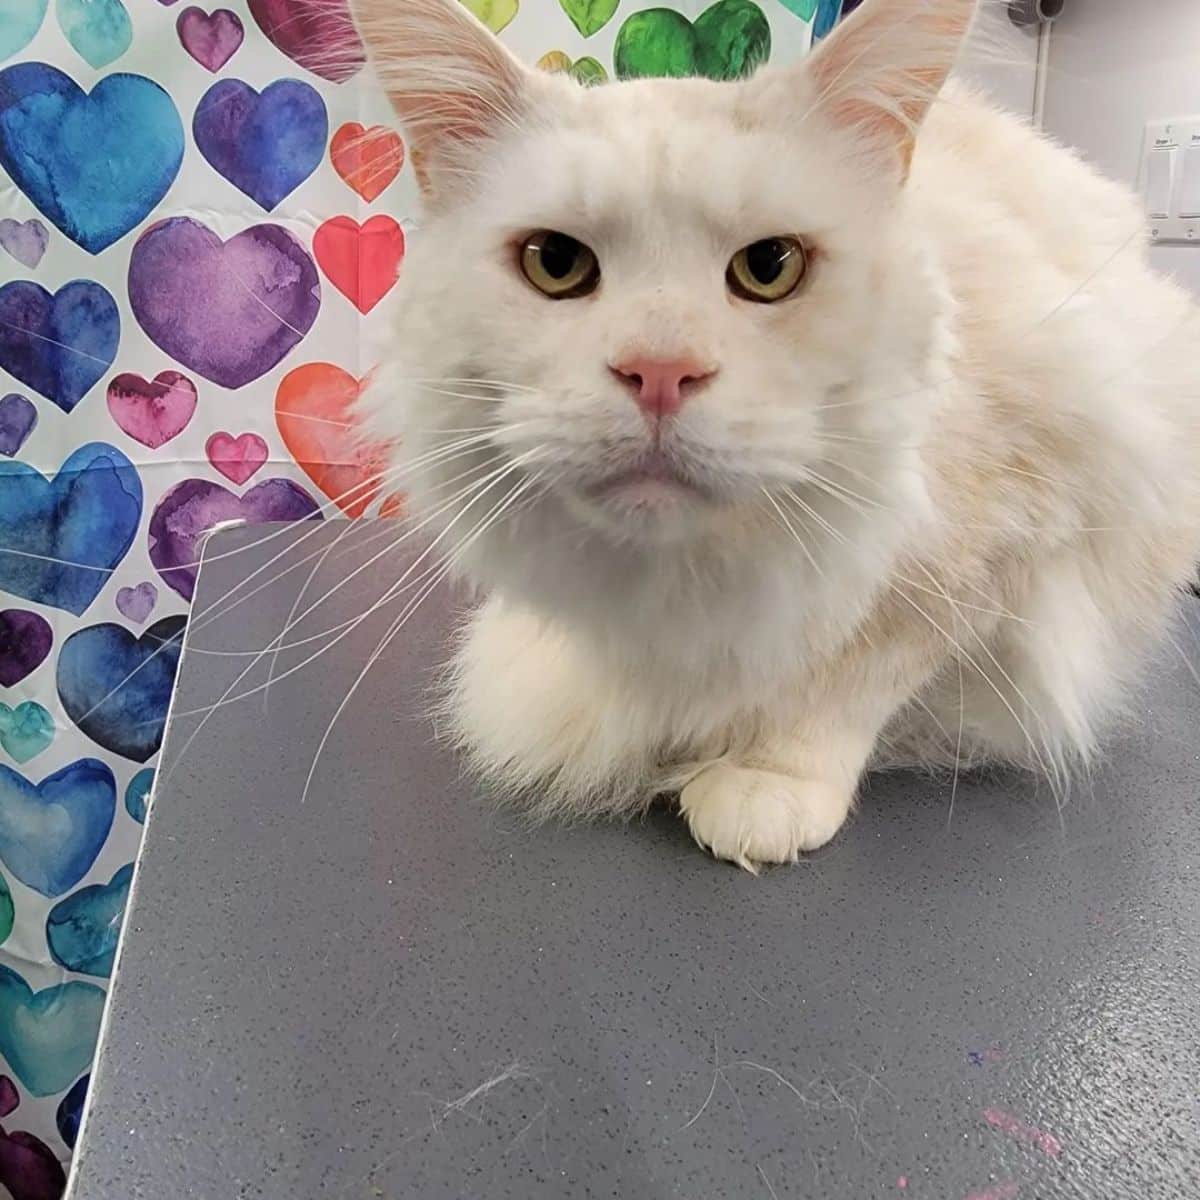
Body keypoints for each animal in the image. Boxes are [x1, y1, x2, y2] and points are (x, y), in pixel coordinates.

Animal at [350, 0, 1200, 868]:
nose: (661, 371)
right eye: (555, 262)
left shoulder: (998, 537)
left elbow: (846, 684)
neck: (686, 576)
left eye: (770, 268)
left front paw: (764, 784)